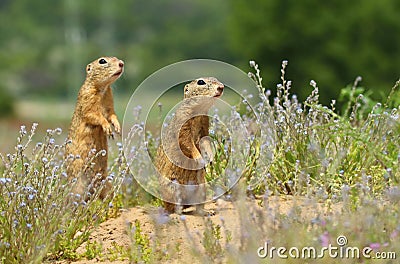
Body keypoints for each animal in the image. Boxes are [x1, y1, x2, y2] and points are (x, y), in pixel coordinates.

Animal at [65, 56, 123, 200]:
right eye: (102, 61)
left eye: (116, 58)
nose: (122, 63)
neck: (103, 88)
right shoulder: (88, 100)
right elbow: (95, 116)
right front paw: (107, 128)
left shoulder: (109, 103)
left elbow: (112, 115)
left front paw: (117, 128)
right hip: (78, 187)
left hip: (106, 184)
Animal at [155, 77, 225, 214]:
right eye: (201, 82)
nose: (221, 87)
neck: (198, 111)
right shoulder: (183, 126)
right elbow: (187, 143)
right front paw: (199, 158)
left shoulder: (204, 126)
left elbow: (205, 142)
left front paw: (210, 158)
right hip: (173, 188)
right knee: (174, 208)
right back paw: (177, 214)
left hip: (202, 188)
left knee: (197, 206)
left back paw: (206, 212)